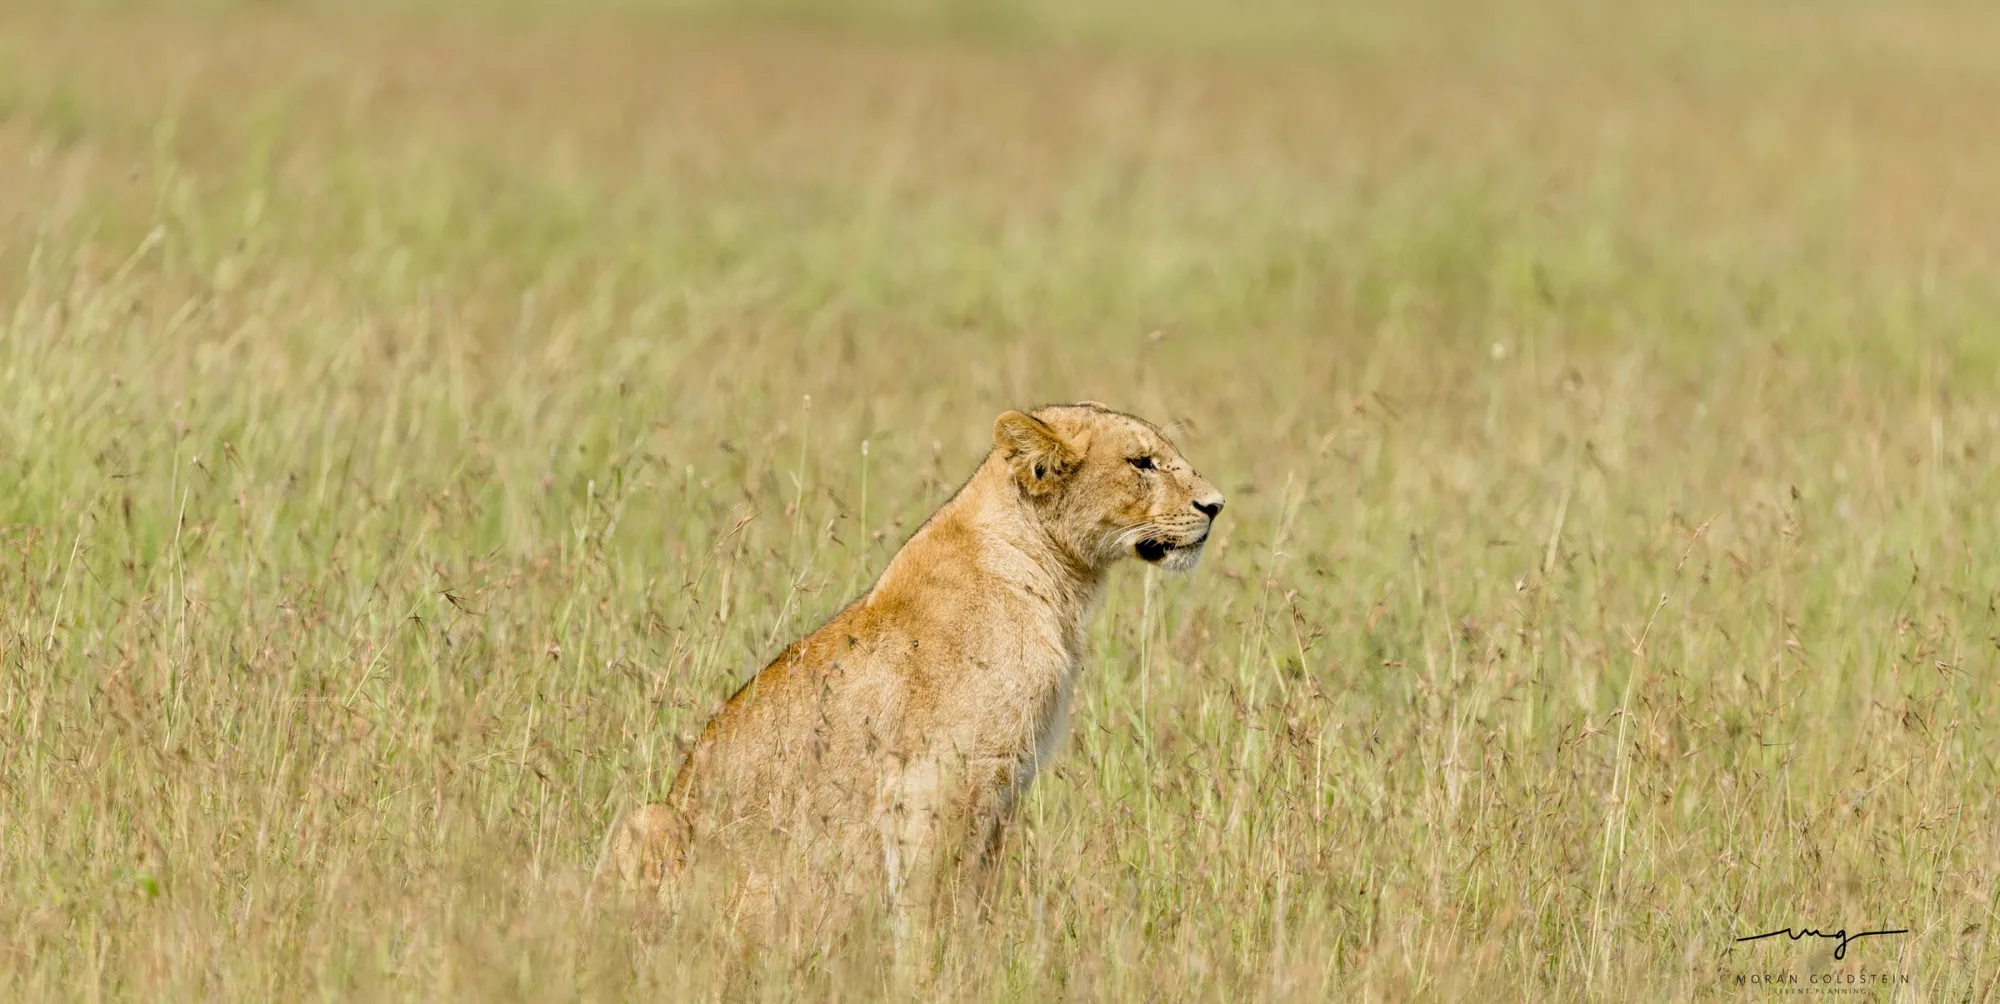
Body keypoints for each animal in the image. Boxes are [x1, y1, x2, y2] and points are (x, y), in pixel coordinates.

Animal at [593, 402, 1225, 934]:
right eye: (1141, 463)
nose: (1216, 506)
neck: (1057, 580)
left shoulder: (1003, 790)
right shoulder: (940, 776)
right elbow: (933, 902)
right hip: (654, 821)